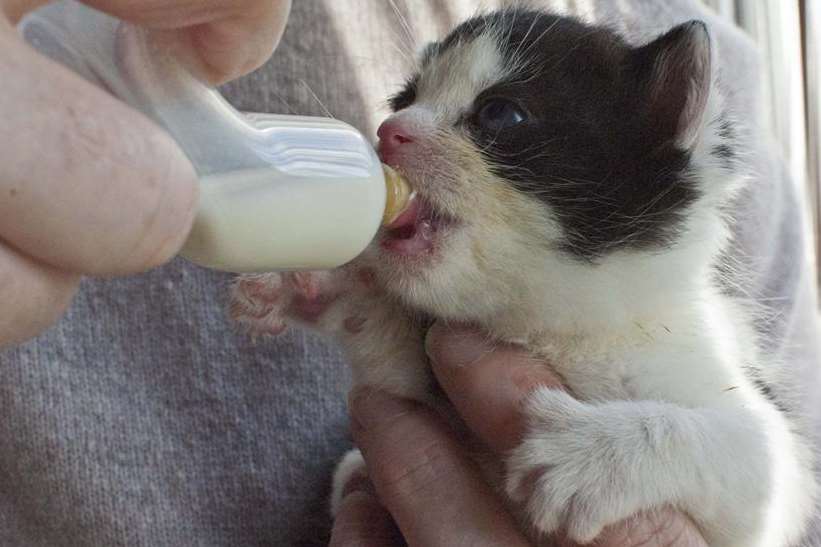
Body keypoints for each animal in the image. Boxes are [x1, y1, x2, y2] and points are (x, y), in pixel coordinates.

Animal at [229, 8, 812, 547]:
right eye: (402, 100)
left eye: (500, 113)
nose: (388, 132)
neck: (549, 329)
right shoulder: (424, 391)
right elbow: (390, 359)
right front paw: (321, 284)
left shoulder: (768, 480)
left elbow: (752, 451)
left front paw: (588, 455)